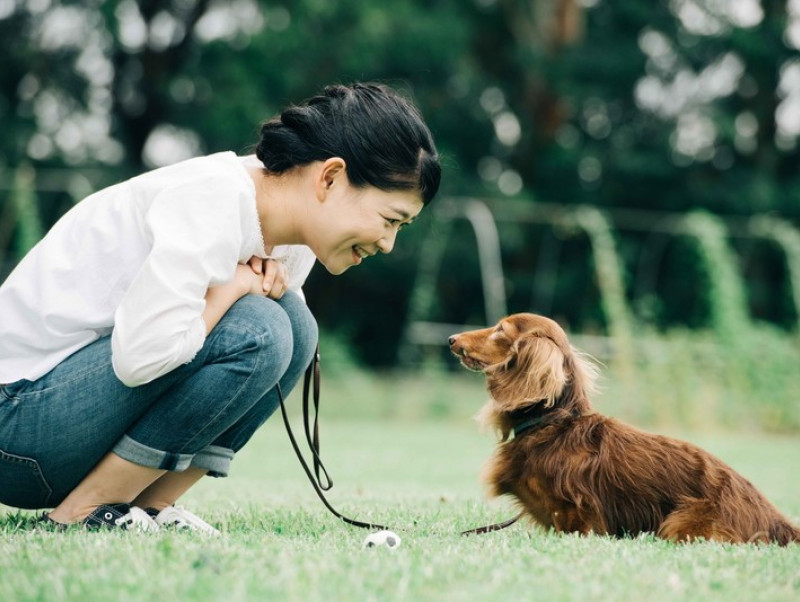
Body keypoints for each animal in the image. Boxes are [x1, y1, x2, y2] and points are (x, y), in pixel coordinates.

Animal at [450, 314, 800, 544]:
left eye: (500, 330)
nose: (452, 340)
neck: (551, 425)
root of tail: (778, 521)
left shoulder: (582, 518)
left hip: (680, 522)